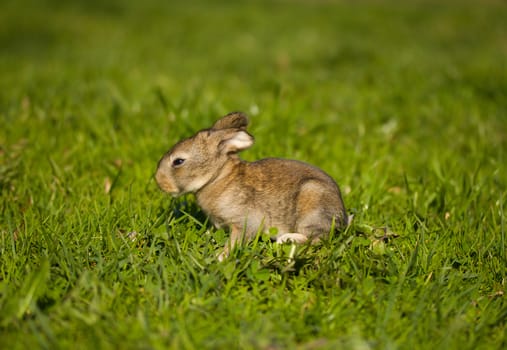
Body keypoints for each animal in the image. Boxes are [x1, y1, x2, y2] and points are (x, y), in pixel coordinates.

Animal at [158, 112, 350, 260]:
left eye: (178, 161)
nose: (159, 181)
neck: (218, 177)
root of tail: (342, 215)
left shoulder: (244, 222)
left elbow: (236, 240)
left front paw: (220, 257)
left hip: (312, 202)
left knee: (315, 239)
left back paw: (286, 239)